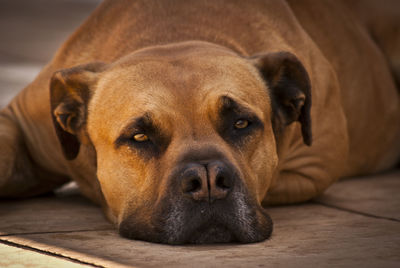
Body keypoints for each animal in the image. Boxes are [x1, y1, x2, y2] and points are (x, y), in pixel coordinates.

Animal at [0, 0, 400, 244]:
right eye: (139, 136)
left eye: (241, 124)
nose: (207, 179)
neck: (173, 34)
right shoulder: (19, 122)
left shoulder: (312, 167)